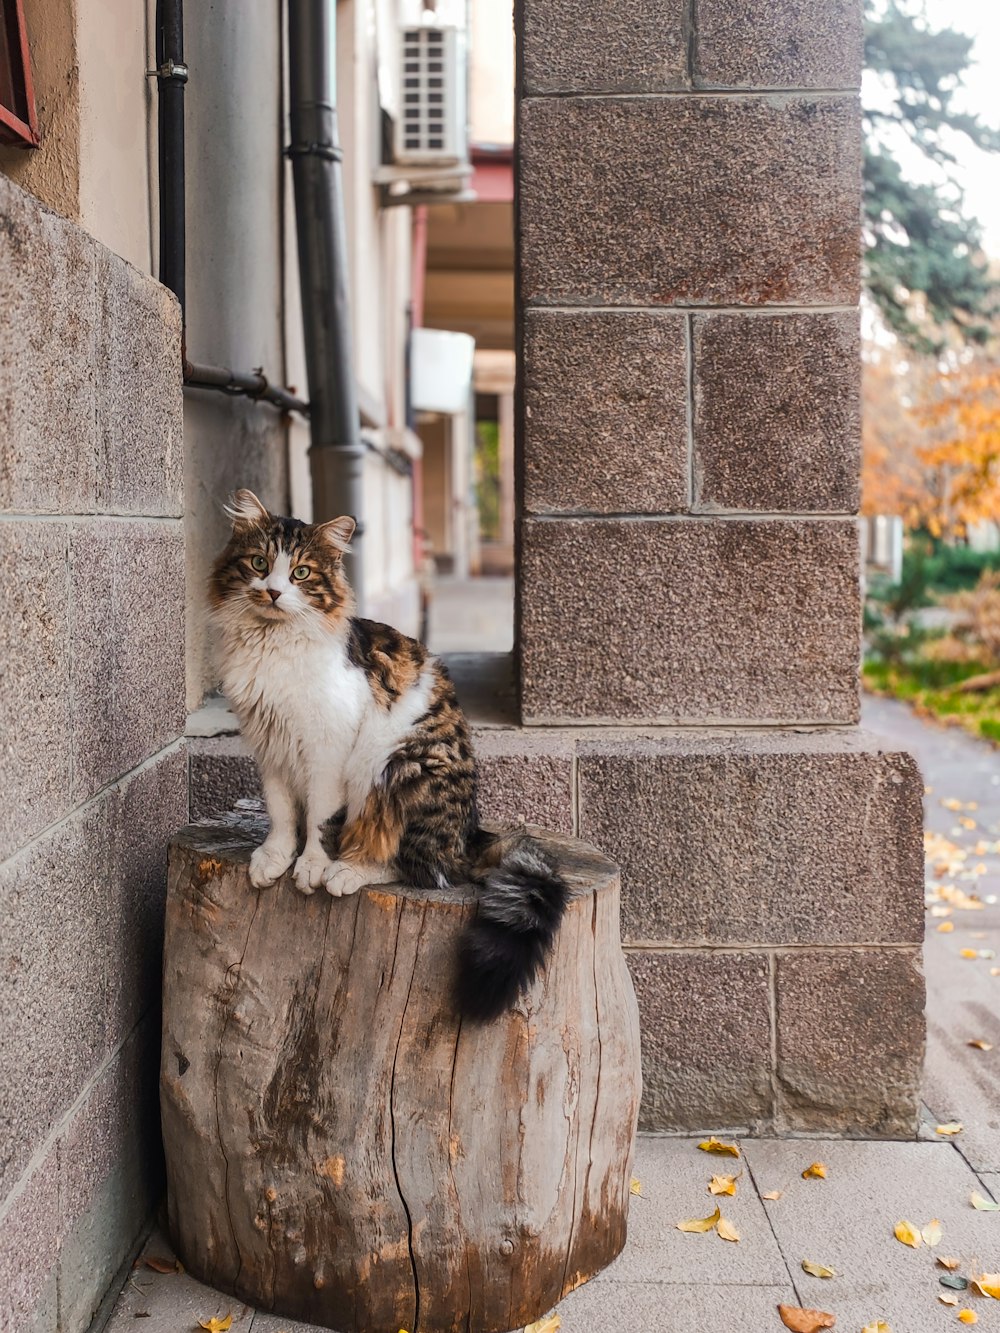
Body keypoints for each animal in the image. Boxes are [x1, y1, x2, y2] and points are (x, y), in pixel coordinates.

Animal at [209, 490, 570, 1018]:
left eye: (301, 573)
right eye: (259, 564)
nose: (273, 592)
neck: (272, 646)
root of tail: (469, 834)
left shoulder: (328, 746)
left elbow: (319, 817)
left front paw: (311, 865)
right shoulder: (268, 744)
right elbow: (281, 812)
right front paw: (274, 857)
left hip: (390, 766)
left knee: (418, 867)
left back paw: (345, 870)